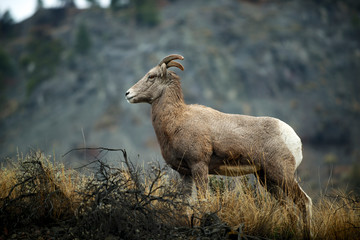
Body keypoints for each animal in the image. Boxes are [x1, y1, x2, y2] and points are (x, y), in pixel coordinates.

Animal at [126, 54, 312, 232]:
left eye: (151, 76)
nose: (128, 94)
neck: (176, 122)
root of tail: (293, 138)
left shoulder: (199, 166)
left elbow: (203, 202)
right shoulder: (185, 174)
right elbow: (185, 205)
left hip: (282, 175)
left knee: (304, 202)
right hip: (267, 179)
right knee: (288, 208)